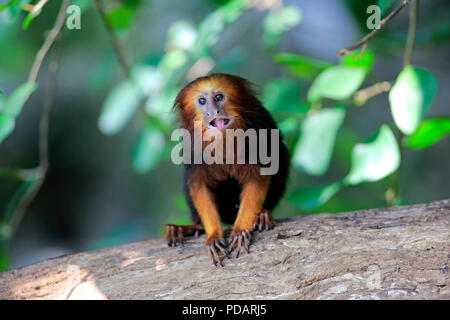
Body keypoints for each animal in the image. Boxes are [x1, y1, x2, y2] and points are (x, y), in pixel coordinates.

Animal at [164, 74, 288, 266]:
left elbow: (259, 176)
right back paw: (187, 228)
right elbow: (198, 185)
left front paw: (240, 230)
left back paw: (262, 214)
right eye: (202, 101)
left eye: (219, 97)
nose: (213, 112)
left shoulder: (259, 129)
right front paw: (214, 235)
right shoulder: (192, 148)